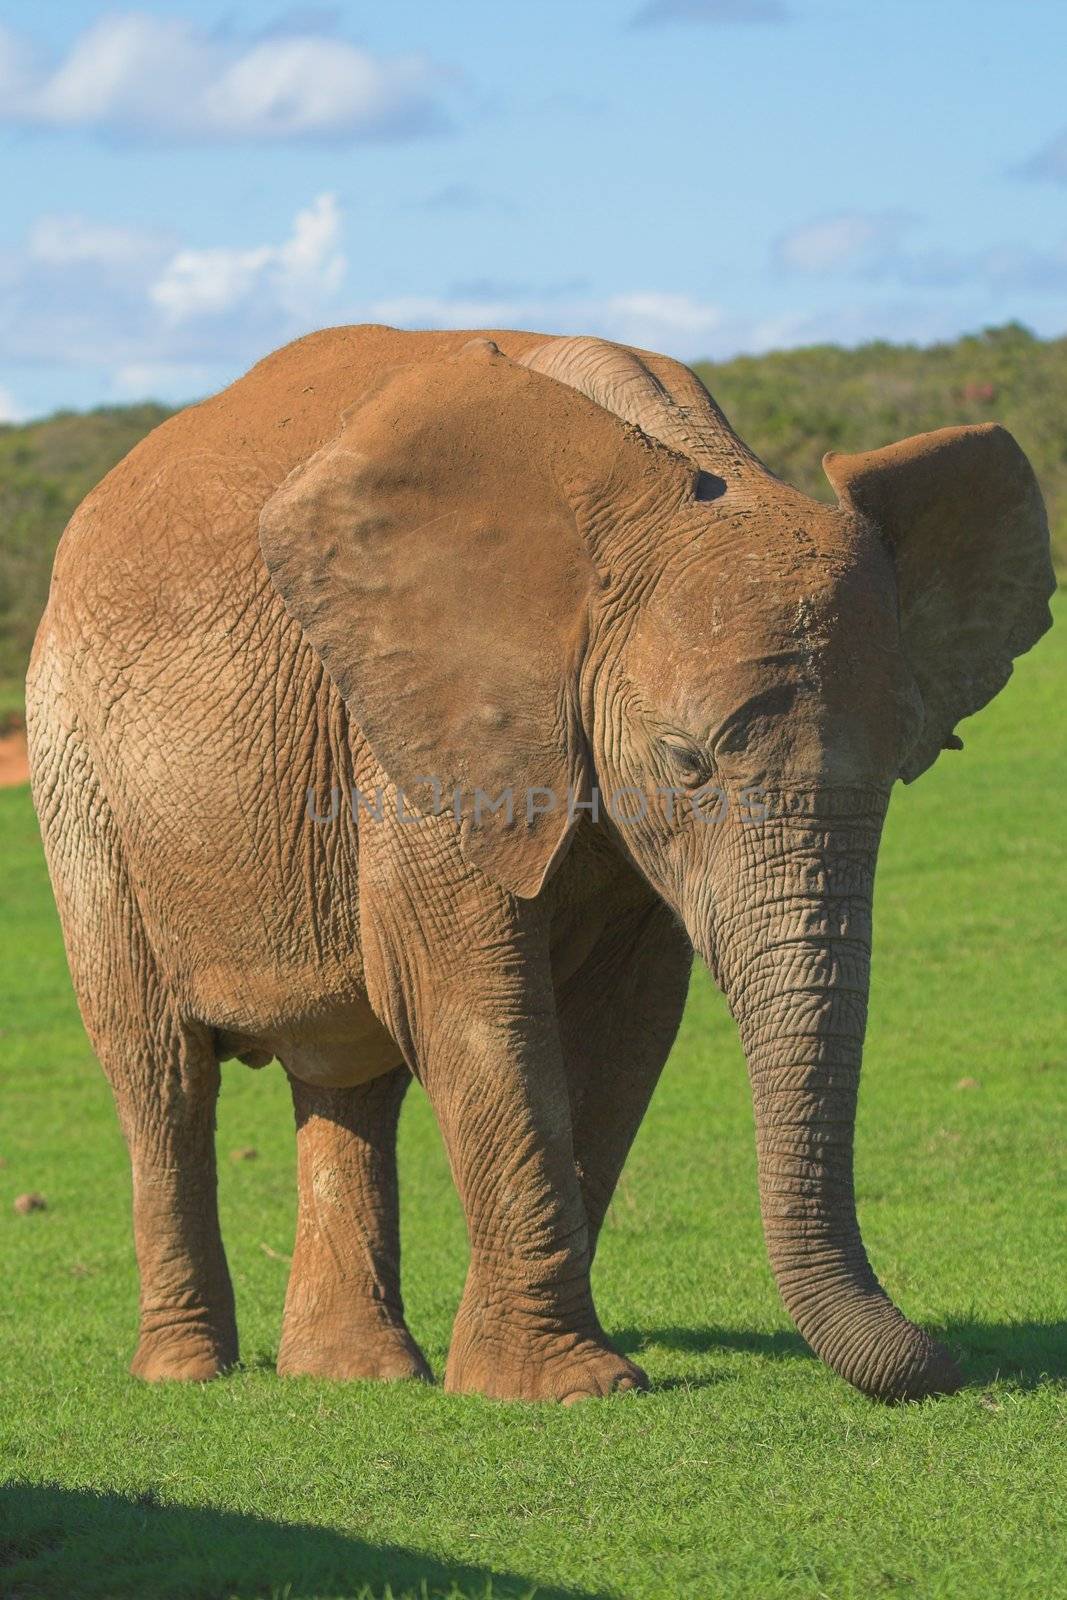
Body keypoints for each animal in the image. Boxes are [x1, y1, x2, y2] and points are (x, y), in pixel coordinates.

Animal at [29, 321, 1055, 1401]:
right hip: (76, 767)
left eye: (907, 759)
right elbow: (466, 999)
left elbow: (625, 1022)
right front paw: (570, 1387)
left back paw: (356, 1377)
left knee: (350, 1076)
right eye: (685, 762)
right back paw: (187, 1375)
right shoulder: (426, 723)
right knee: (158, 1070)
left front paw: (514, 1376)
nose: (942, 1362)